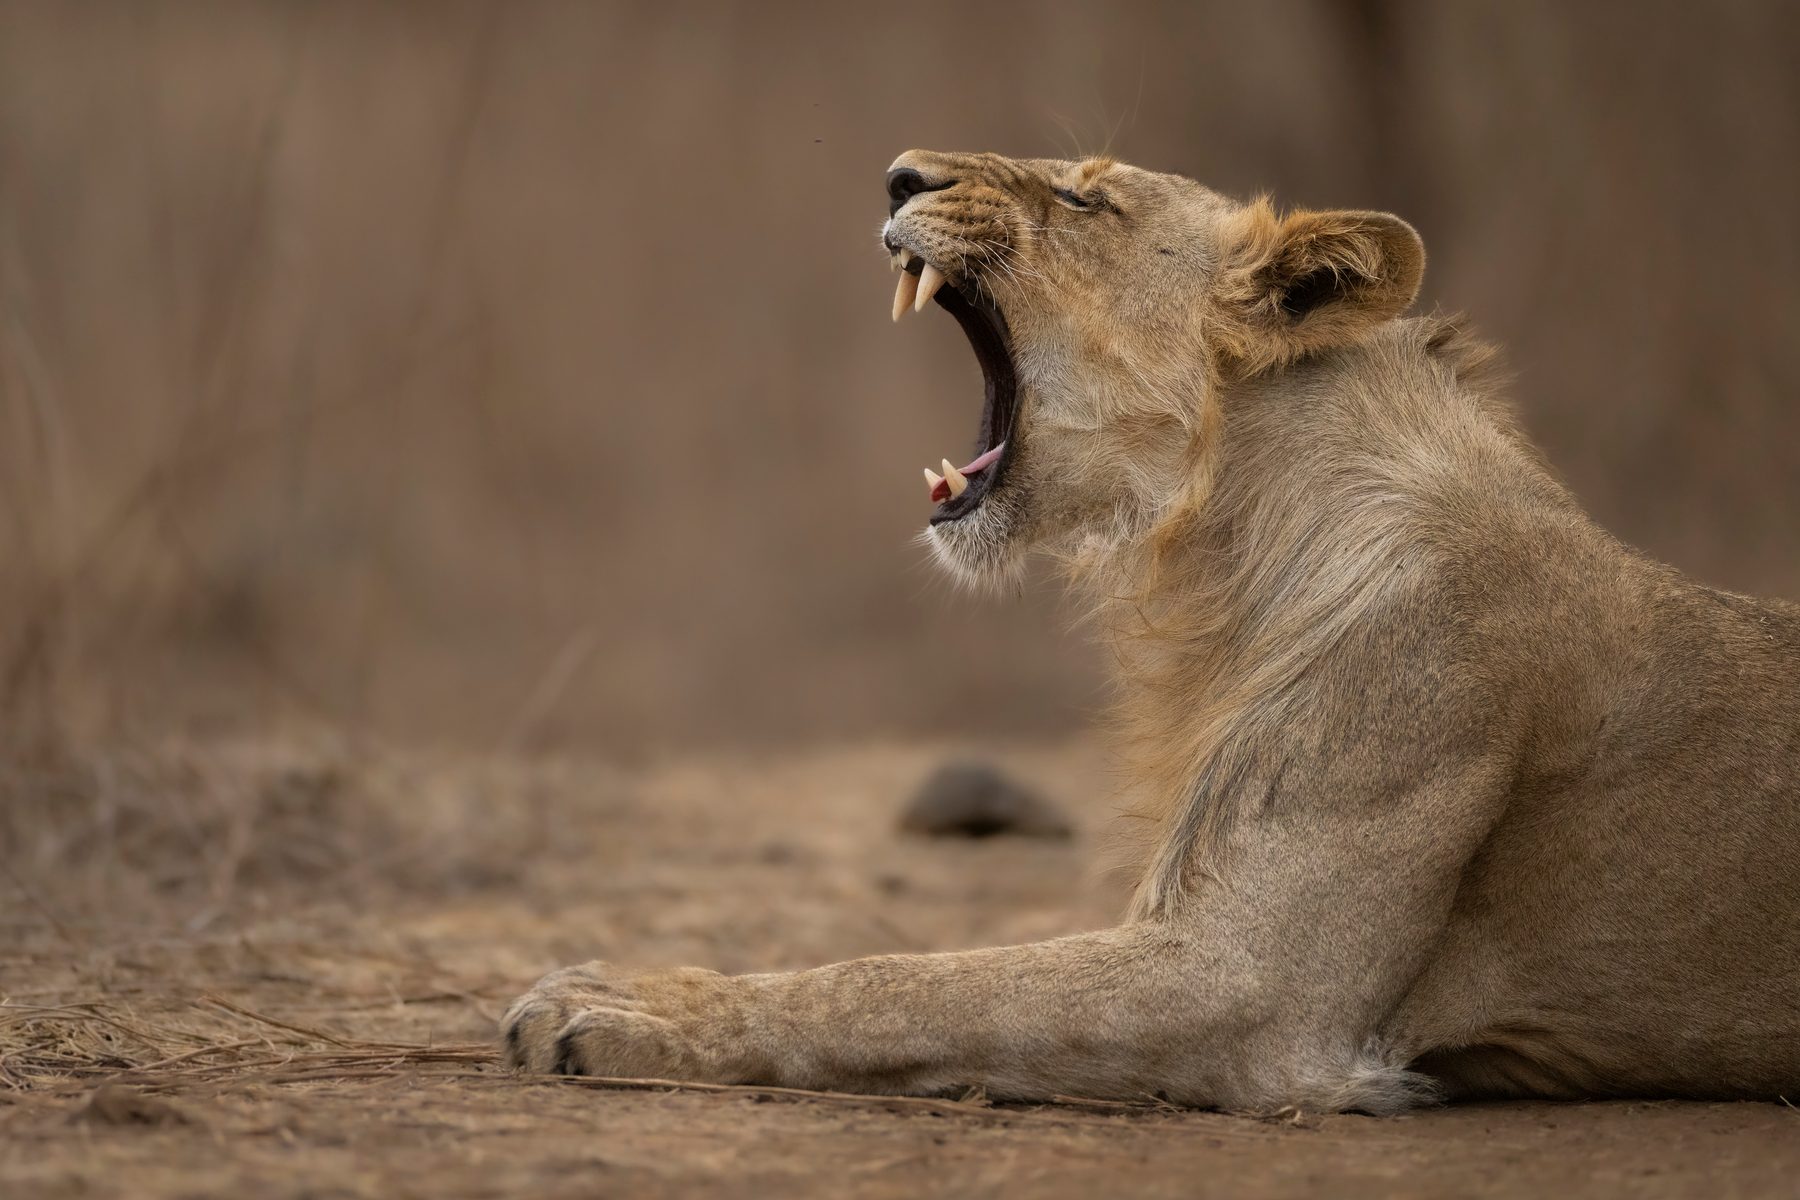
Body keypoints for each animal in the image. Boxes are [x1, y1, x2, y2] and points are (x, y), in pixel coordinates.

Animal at [502, 150, 1800, 1112]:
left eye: (1086, 199)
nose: (897, 173)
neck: (1231, 563)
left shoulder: (1255, 982)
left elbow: (908, 986)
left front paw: (618, 1009)